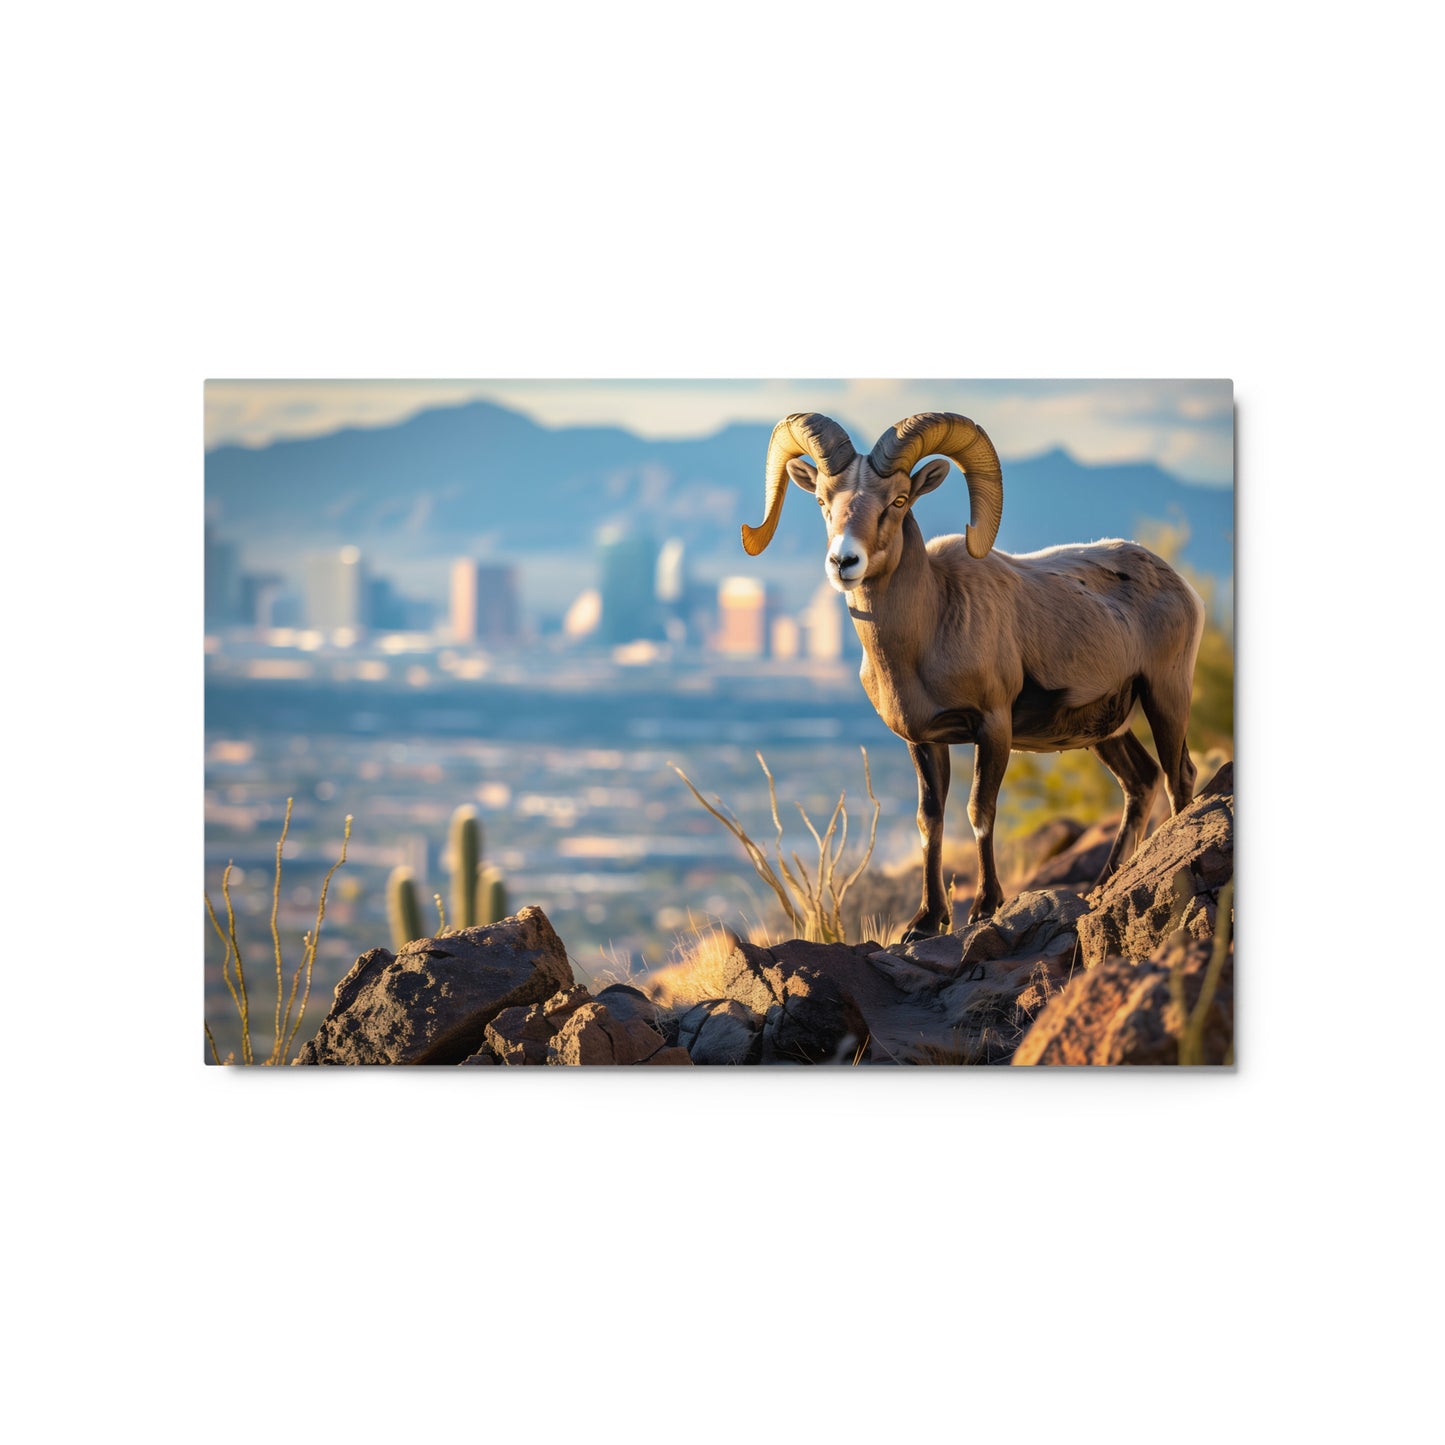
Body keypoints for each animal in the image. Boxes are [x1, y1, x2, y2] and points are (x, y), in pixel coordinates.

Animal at [741, 411, 1206, 941]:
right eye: (822, 500)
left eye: (898, 500)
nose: (844, 562)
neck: (930, 627)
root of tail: (1180, 585)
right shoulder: (924, 740)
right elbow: (931, 821)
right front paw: (926, 922)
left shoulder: (994, 728)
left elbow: (979, 811)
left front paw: (985, 908)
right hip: (1107, 731)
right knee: (1141, 782)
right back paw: (1103, 885)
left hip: (1166, 698)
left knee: (1179, 778)